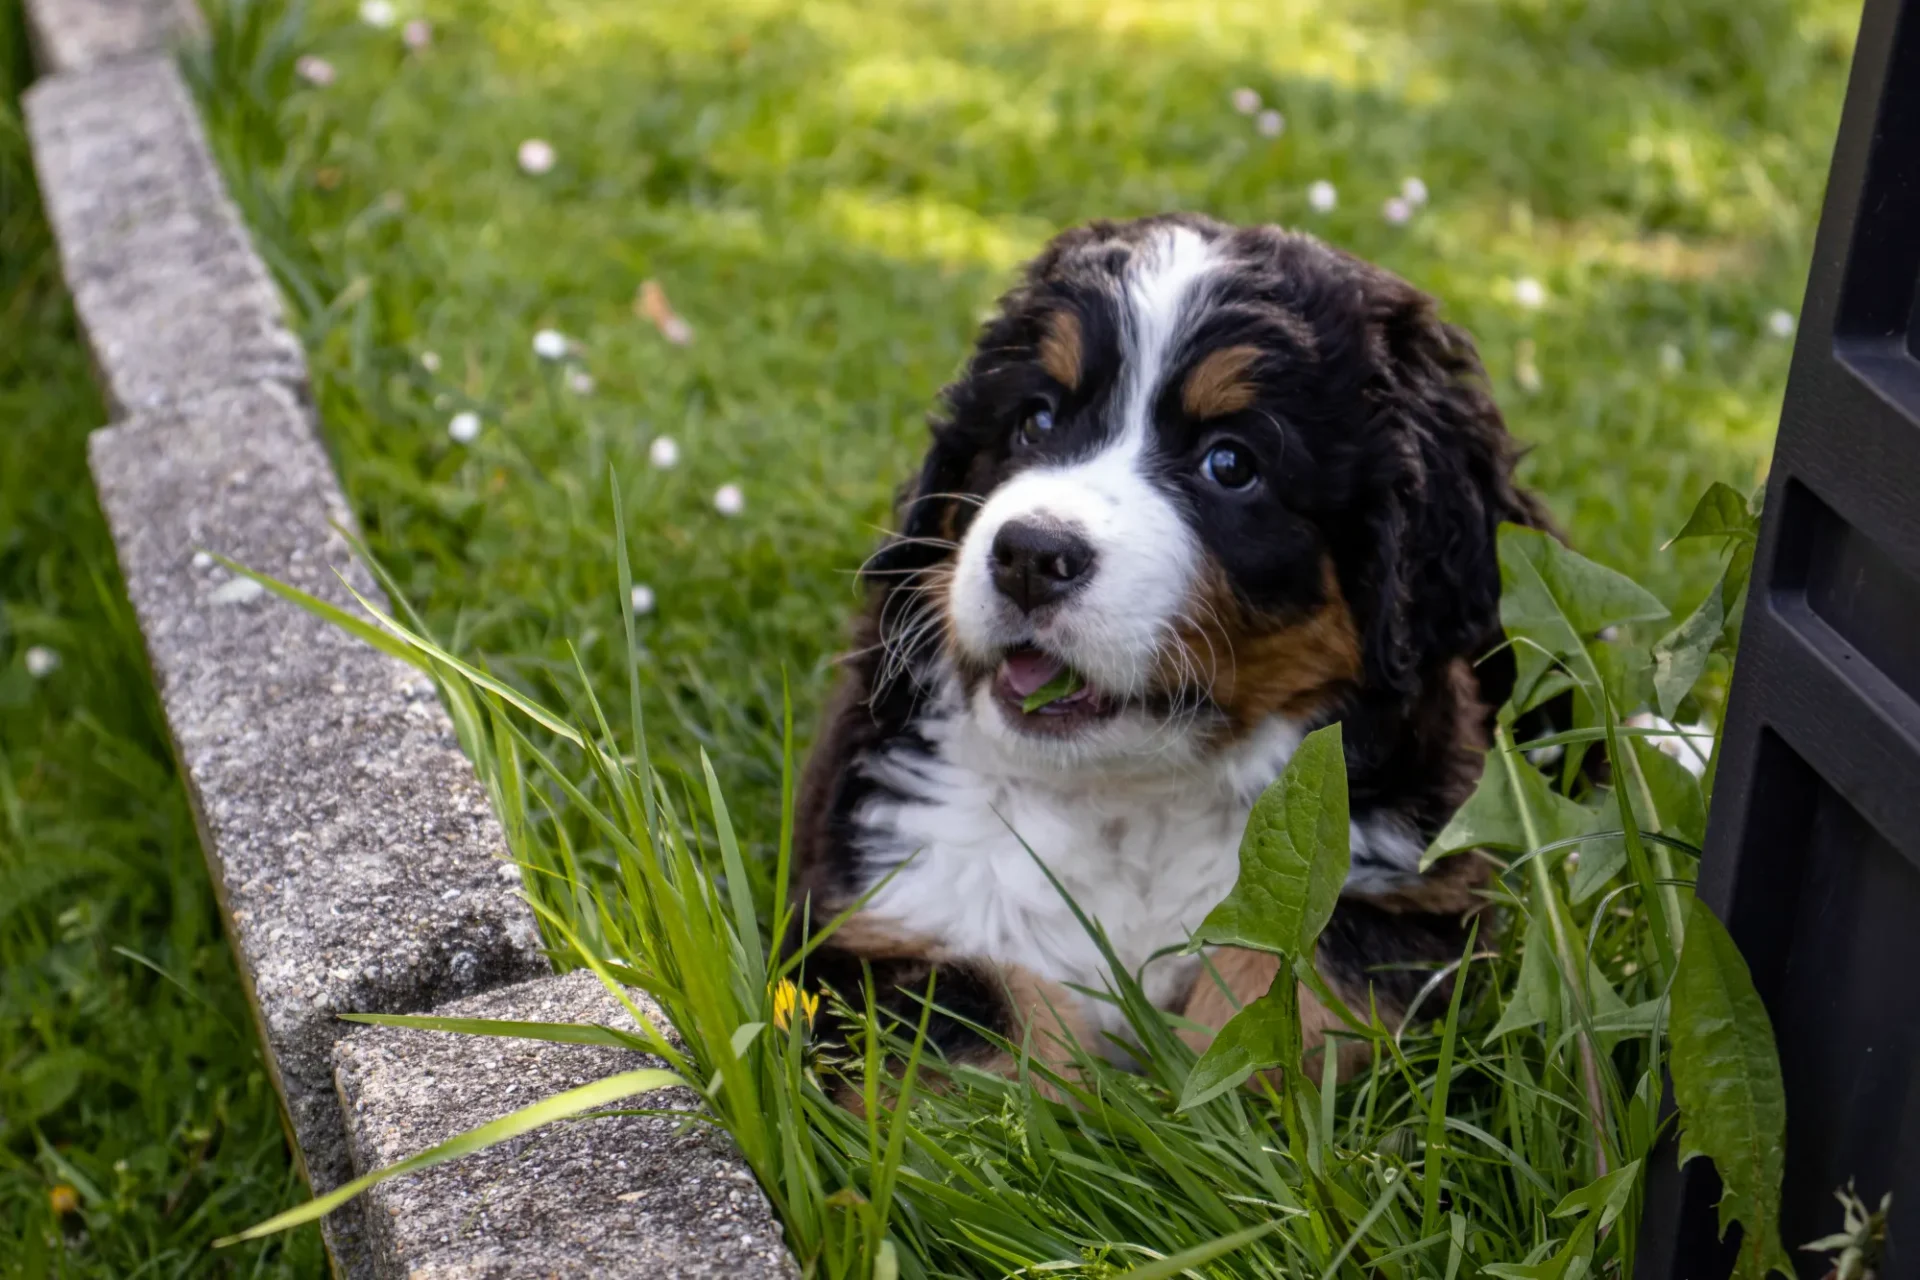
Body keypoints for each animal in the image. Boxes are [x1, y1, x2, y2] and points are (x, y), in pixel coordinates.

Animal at [787, 213, 1551, 1082]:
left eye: (1231, 463)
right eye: (1035, 420)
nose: (1029, 555)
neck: (1129, 798)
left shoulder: (1416, 899)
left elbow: (1302, 984)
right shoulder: (872, 916)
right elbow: (982, 1013)